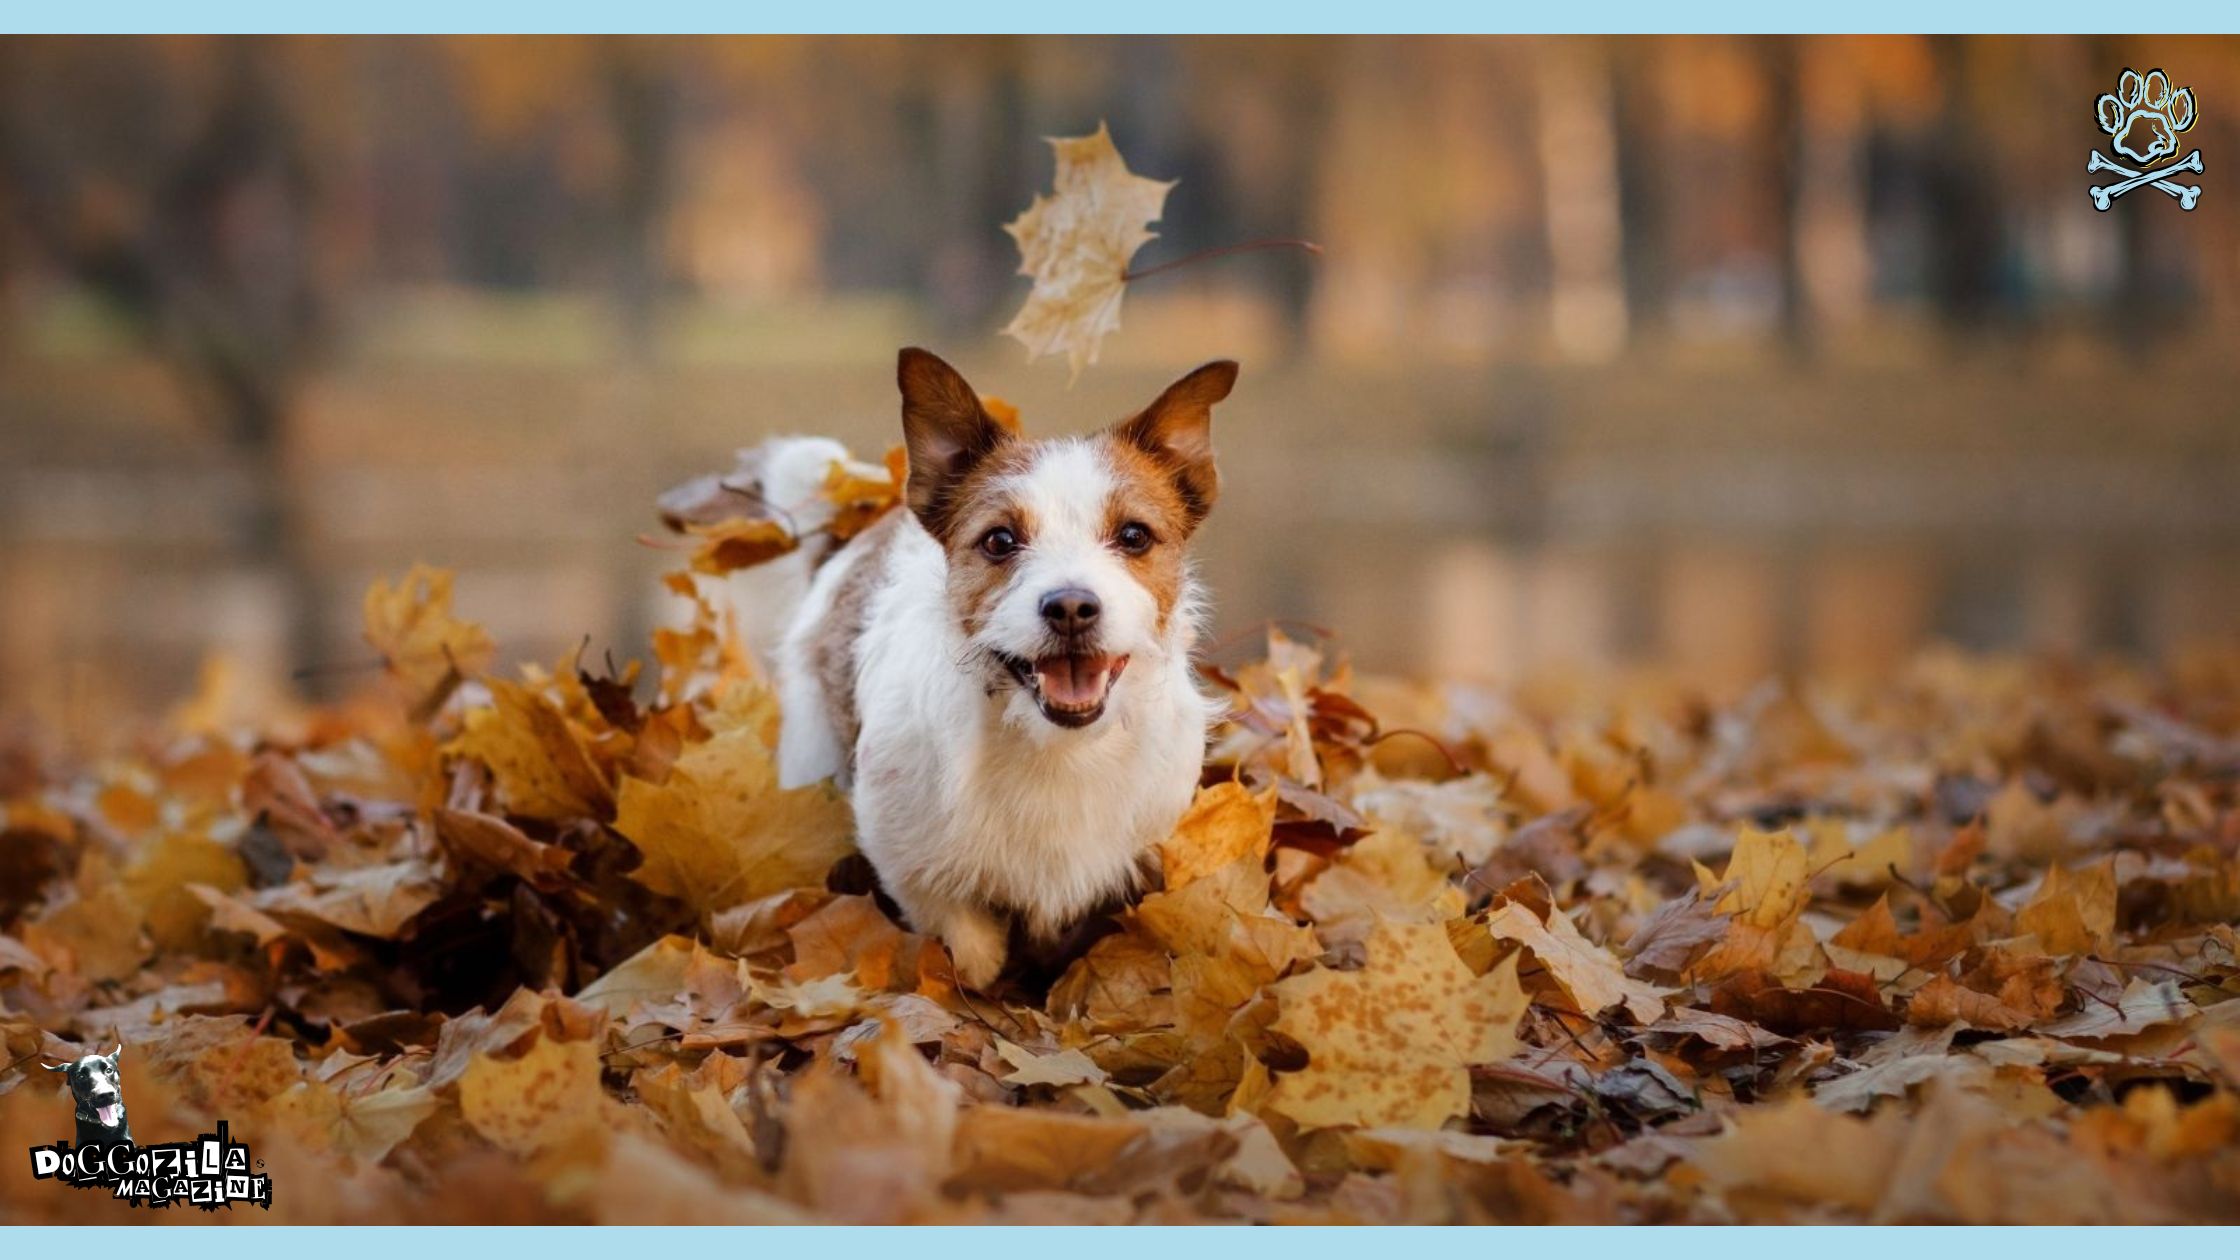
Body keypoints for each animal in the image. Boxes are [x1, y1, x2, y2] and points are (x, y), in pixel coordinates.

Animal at [725, 347, 1236, 986]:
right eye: (999, 541)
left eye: (1134, 535)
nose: (1071, 607)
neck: (1054, 751)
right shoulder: (909, 860)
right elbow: (967, 944)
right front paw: (979, 977)